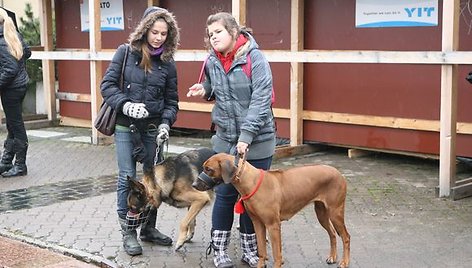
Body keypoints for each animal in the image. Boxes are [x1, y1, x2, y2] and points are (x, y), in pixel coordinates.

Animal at [192, 153, 350, 268]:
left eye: (209, 169)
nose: (193, 184)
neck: (251, 181)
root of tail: (338, 173)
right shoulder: (258, 223)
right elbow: (261, 251)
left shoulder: (273, 225)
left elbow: (276, 254)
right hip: (321, 212)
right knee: (332, 233)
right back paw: (332, 257)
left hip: (335, 212)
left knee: (346, 236)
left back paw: (344, 262)